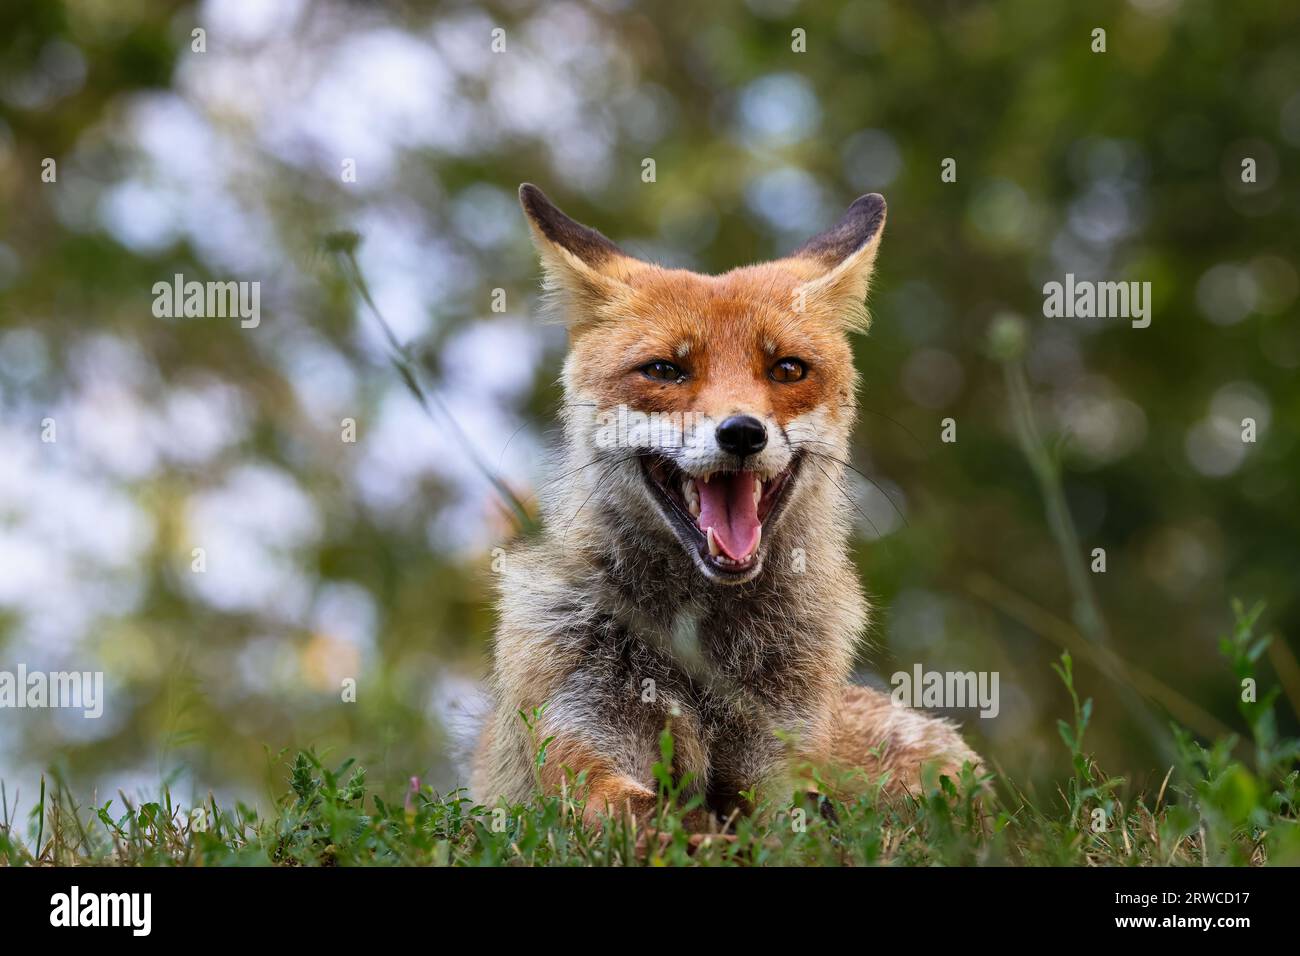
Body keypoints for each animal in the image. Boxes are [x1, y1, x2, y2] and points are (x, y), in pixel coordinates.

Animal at [471, 184, 981, 829]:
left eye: (786, 368)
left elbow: (791, 821)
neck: (701, 654)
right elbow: (653, 815)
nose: (742, 433)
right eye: (665, 369)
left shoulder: (781, 764)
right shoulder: (582, 746)